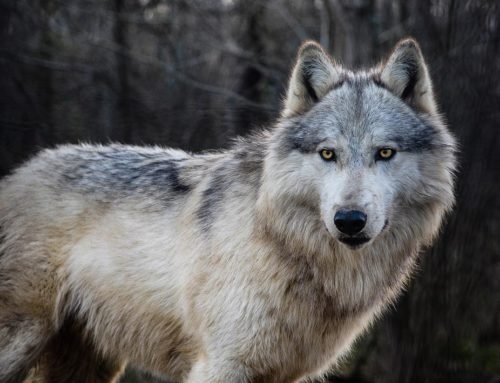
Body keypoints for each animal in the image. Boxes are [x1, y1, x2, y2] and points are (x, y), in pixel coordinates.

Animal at [0, 39, 456, 383]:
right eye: (328, 153)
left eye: (385, 153)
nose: (349, 221)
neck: (283, 245)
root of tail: (16, 176)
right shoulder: (220, 366)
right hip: (23, 340)